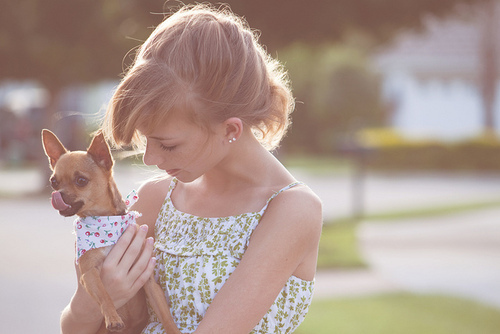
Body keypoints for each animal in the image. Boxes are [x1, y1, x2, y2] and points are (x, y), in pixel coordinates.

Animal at [41, 129, 180, 332]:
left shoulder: (149, 281)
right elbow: (104, 294)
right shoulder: (89, 274)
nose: (57, 195)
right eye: (53, 182)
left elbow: (166, 315)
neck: (107, 222)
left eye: (81, 180)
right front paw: (113, 317)